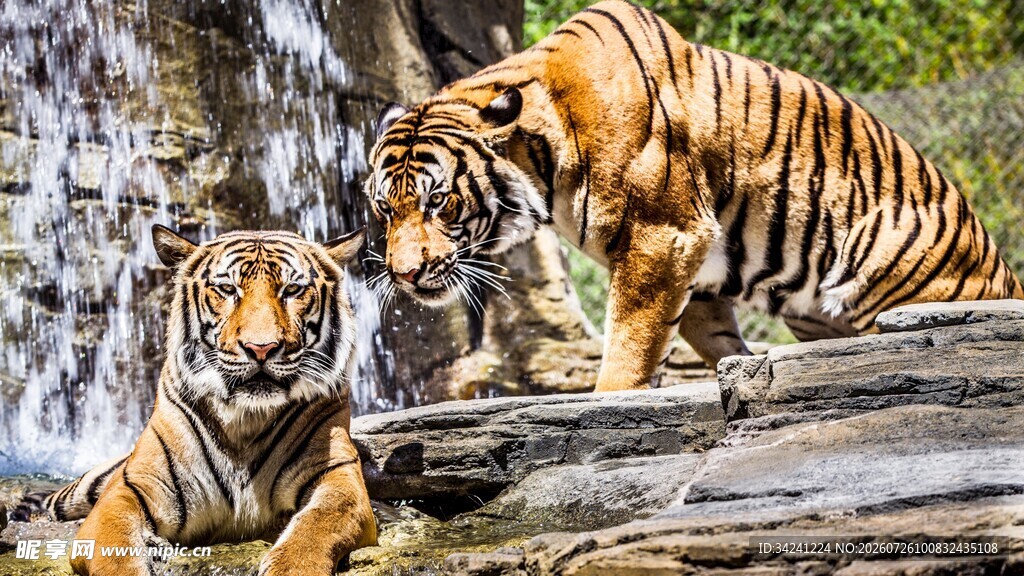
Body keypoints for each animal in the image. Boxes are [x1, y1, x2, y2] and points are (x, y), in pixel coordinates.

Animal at [14, 226, 377, 576]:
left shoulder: (337, 479)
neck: (246, 419)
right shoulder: (130, 489)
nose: (261, 348)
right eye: (228, 289)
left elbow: (311, 533)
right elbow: (115, 556)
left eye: (292, 290)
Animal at [365, 0, 1023, 392]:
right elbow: (703, 340)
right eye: (385, 208)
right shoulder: (700, 272)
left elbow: (628, 347)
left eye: (438, 202)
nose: (403, 274)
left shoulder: (663, 237)